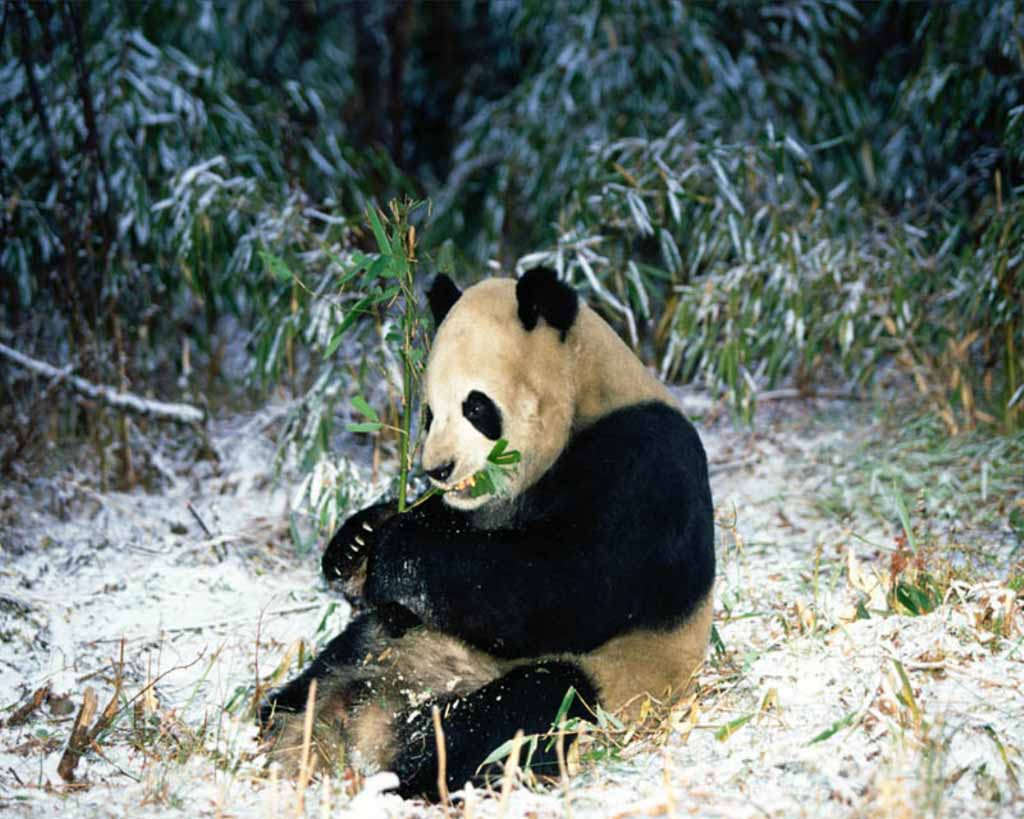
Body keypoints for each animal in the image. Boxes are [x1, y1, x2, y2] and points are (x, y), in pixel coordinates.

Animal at [260, 268, 716, 798]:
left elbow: (573, 587)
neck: (586, 397)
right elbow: (440, 530)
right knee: (317, 679)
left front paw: (394, 550)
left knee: (523, 710)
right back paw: (283, 734)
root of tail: (378, 725)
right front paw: (356, 543)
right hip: (375, 647)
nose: (437, 469)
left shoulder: (644, 463)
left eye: (476, 407)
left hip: (603, 681)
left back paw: (418, 781)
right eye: (429, 412)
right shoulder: (472, 510)